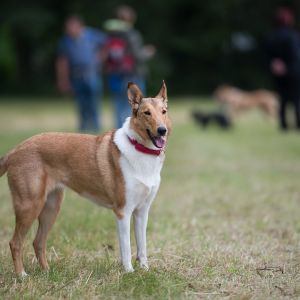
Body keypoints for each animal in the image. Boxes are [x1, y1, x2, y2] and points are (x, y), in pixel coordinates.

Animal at [0, 81, 171, 276]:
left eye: (164, 111)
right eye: (146, 113)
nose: (162, 130)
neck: (141, 149)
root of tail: (14, 151)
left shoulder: (142, 210)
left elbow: (142, 245)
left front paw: (145, 270)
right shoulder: (123, 211)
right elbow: (126, 247)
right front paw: (129, 273)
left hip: (51, 206)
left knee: (38, 242)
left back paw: (47, 272)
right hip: (30, 205)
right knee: (15, 243)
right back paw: (22, 275)